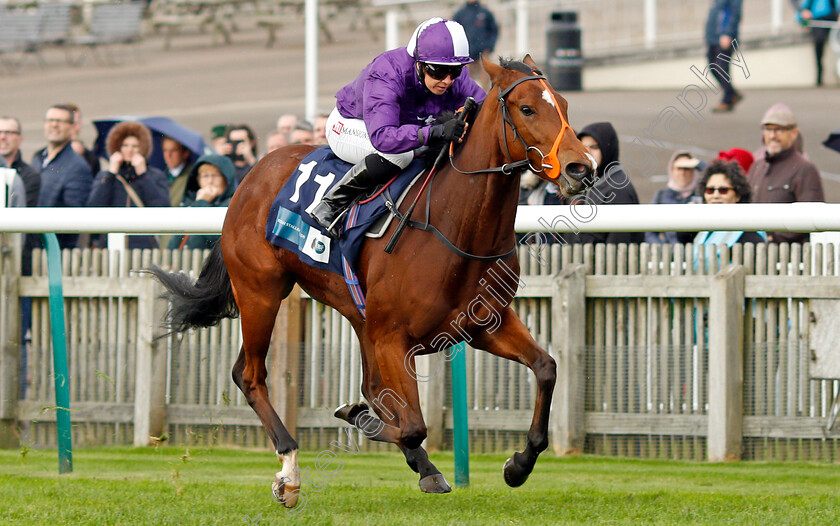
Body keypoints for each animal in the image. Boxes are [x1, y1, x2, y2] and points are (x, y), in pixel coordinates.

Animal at [153, 55, 596, 510]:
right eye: (527, 109)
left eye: (563, 104)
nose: (582, 168)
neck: (453, 227)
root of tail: (253, 173)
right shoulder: (393, 338)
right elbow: (412, 423)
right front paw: (357, 417)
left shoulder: (483, 324)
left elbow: (546, 368)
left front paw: (518, 465)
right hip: (261, 292)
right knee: (250, 375)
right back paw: (290, 472)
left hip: (354, 311)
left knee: (364, 383)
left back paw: (423, 467)